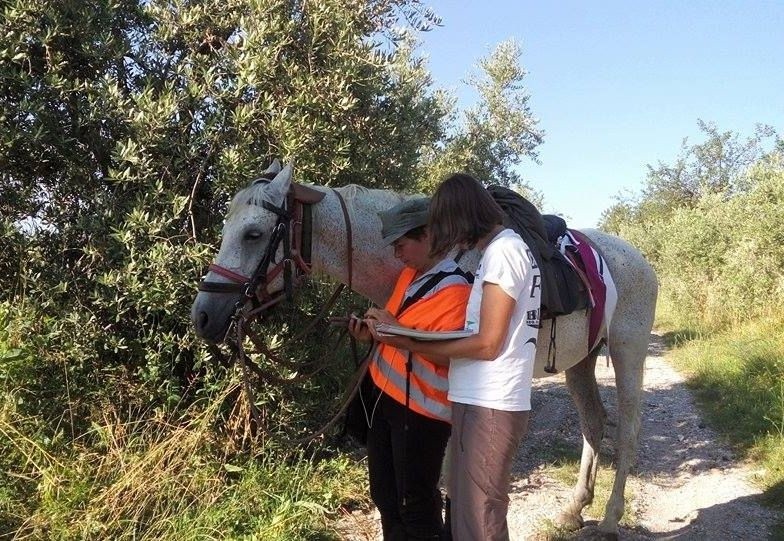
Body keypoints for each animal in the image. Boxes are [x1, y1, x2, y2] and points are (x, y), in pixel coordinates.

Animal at [193, 161, 660, 536]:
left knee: (629, 430)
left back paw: (611, 518)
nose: (202, 316)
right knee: (593, 424)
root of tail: (639, 258)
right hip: (581, 361)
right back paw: (574, 510)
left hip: (628, 353)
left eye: (253, 234)